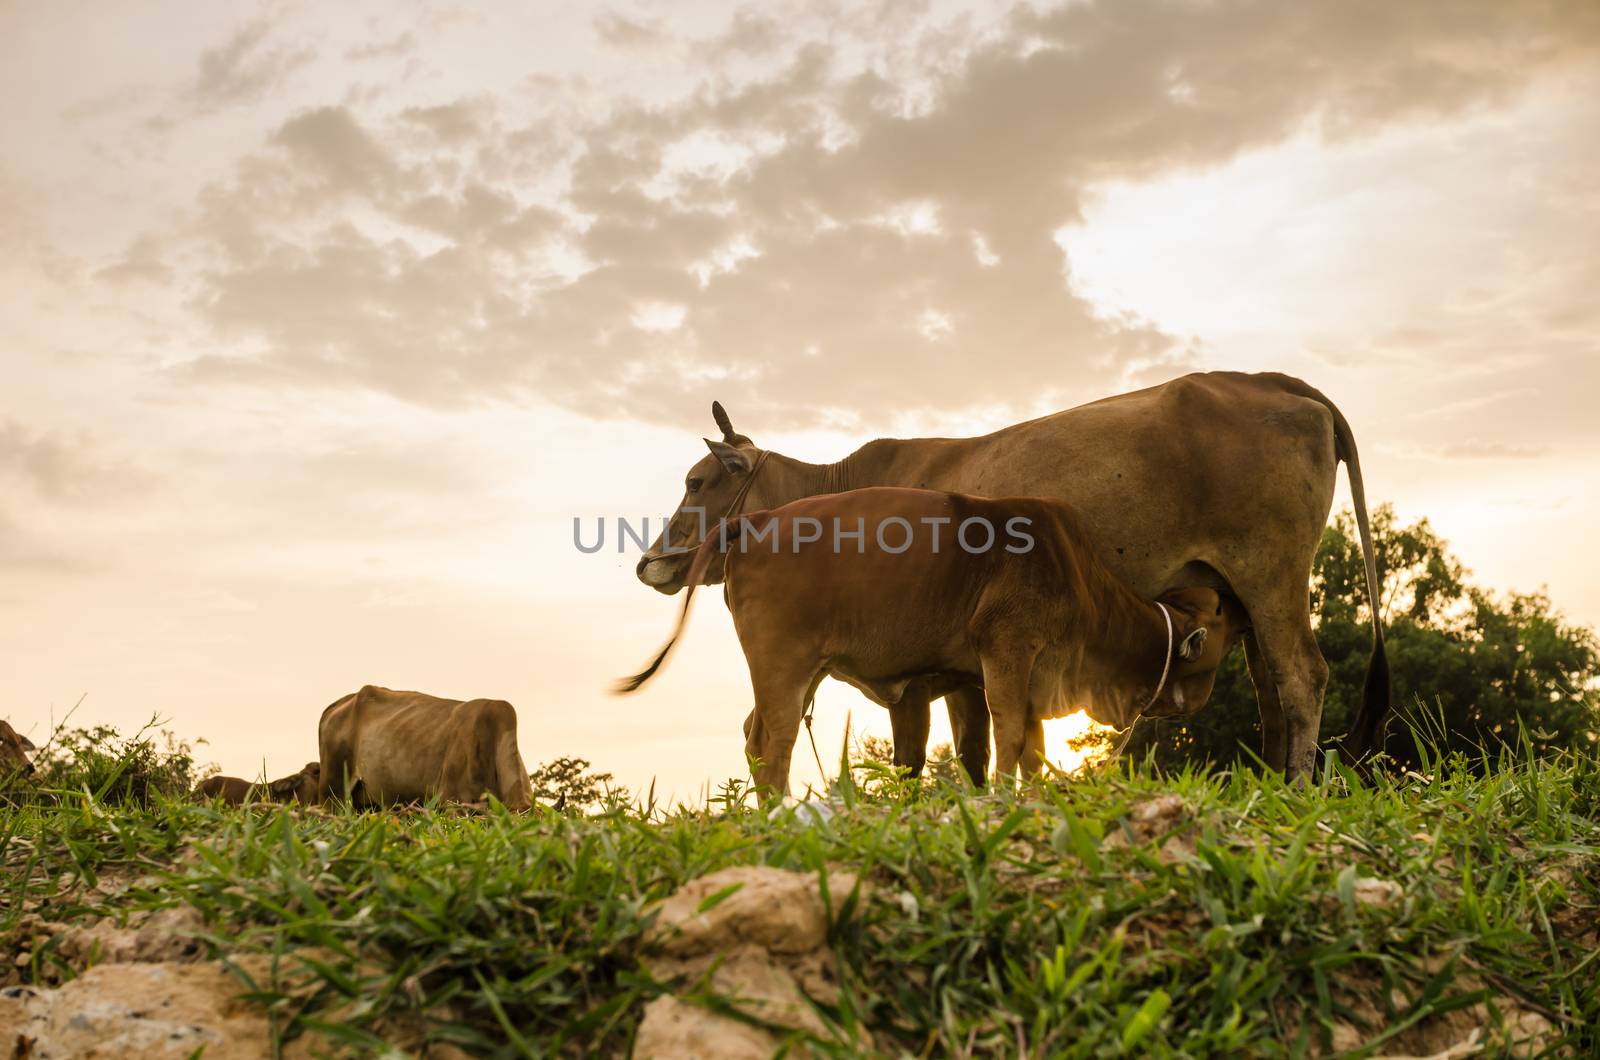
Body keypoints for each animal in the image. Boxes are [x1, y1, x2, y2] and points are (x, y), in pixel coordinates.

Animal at [620, 486, 1248, 794]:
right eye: (1220, 617)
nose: (1237, 603)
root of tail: (756, 521)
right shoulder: (1007, 651)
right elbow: (1009, 739)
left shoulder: (1025, 675)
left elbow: (1032, 750)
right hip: (782, 663)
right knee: (772, 744)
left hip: (807, 670)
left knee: (757, 736)